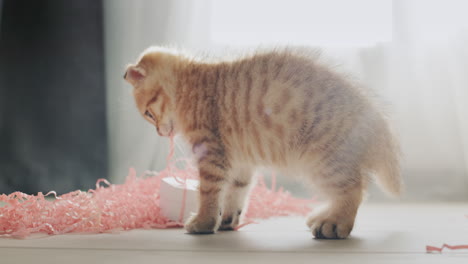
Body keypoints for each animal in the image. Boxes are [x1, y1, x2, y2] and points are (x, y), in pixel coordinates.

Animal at [124, 46, 402, 238]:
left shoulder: (210, 153)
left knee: (354, 191)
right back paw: (322, 217)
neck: (189, 85)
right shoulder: (239, 161)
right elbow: (236, 191)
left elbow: (209, 193)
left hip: (322, 160)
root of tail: (374, 116)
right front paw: (227, 220)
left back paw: (334, 225)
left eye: (148, 114)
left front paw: (203, 222)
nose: (160, 133)